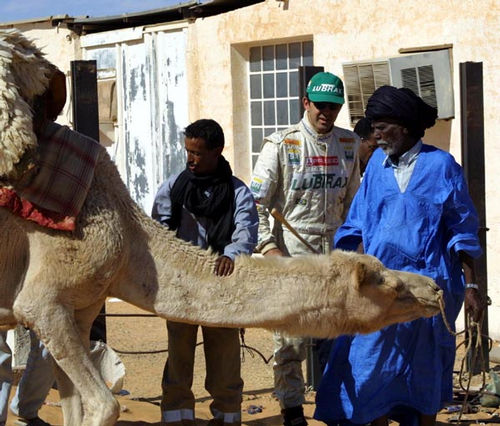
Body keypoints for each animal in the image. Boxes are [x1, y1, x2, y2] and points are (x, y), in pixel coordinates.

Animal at [0, 30, 444, 426]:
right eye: (390, 285)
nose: (434, 289)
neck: (128, 238)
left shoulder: (80, 306)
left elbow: (77, 406)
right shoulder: (43, 300)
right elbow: (104, 406)